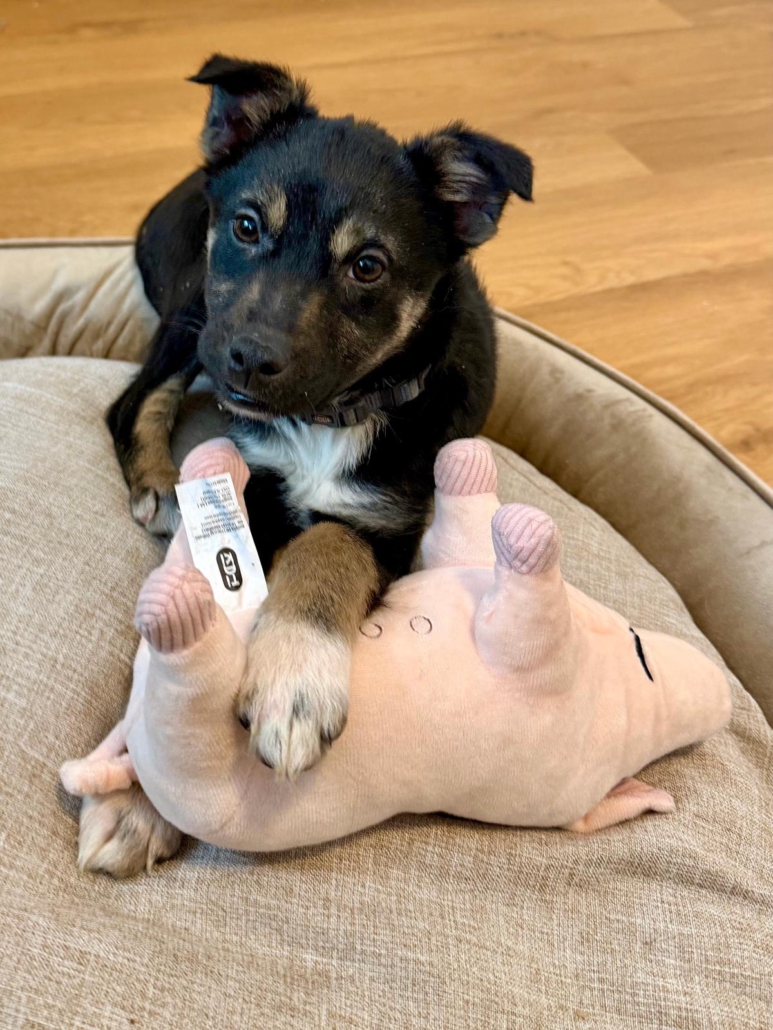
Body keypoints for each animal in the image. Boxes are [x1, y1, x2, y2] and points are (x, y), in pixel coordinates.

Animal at [79, 54, 533, 876]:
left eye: (368, 266)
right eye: (247, 226)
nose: (249, 361)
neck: (325, 417)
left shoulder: (387, 524)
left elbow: (325, 544)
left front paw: (293, 683)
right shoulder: (249, 484)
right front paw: (140, 797)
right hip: (195, 310)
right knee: (134, 400)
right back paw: (159, 482)